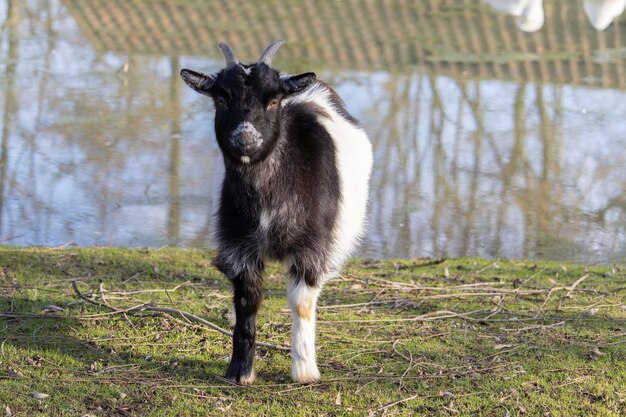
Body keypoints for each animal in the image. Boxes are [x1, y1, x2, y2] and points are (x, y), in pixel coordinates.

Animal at [178, 40, 370, 382]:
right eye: (221, 99)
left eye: (273, 100)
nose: (245, 139)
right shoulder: (239, 245)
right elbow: (247, 299)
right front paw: (240, 371)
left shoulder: (312, 247)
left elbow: (302, 303)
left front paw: (305, 372)